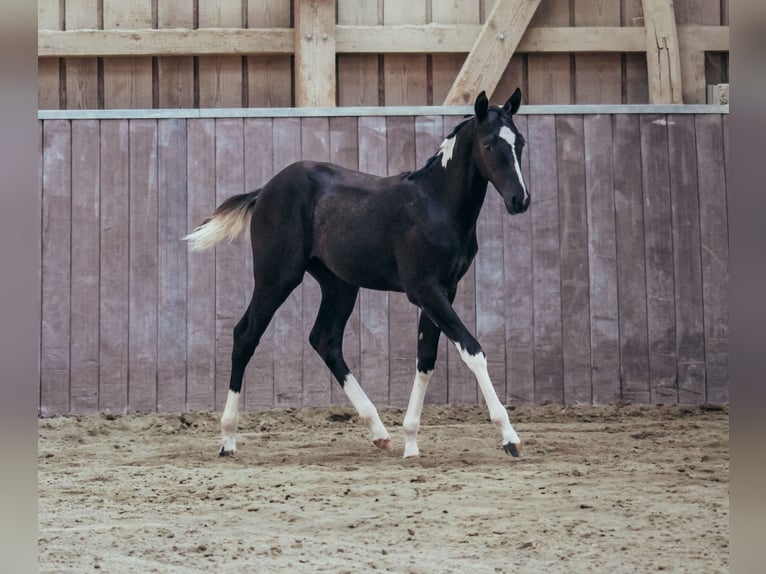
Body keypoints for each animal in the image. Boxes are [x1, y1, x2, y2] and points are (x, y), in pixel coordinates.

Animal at [185, 89, 530, 459]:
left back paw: (379, 432)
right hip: (276, 277)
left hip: (339, 285)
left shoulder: (443, 289)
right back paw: (227, 439)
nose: (519, 200)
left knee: (324, 339)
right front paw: (510, 438)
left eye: (520, 142)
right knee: (245, 335)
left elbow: (426, 357)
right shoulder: (425, 289)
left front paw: (411, 442)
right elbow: (472, 351)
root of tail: (265, 190)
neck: (436, 205)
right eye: (488, 145)